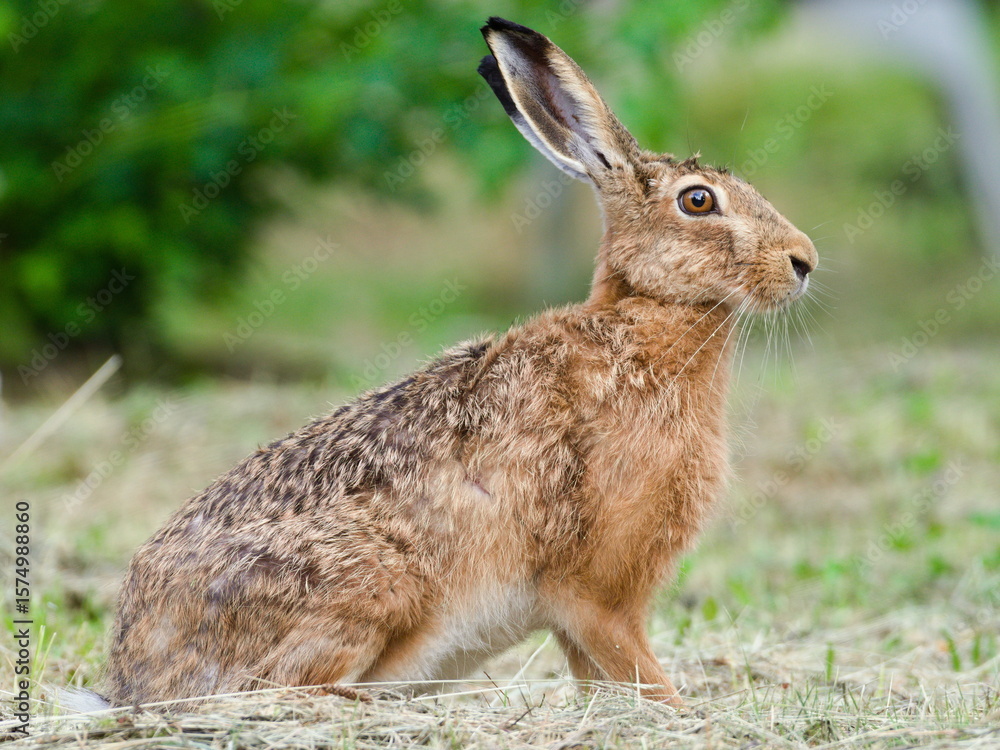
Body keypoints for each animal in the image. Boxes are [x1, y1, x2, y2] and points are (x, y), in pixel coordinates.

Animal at [96, 16, 817, 709]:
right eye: (698, 201)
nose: (804, 260)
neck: (640, 317)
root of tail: (133, 669)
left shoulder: (583, 615)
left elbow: (600, 679)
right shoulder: (596, 592)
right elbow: (638, 668)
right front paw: (686, 714)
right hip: (372, 577)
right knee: (280, 684)